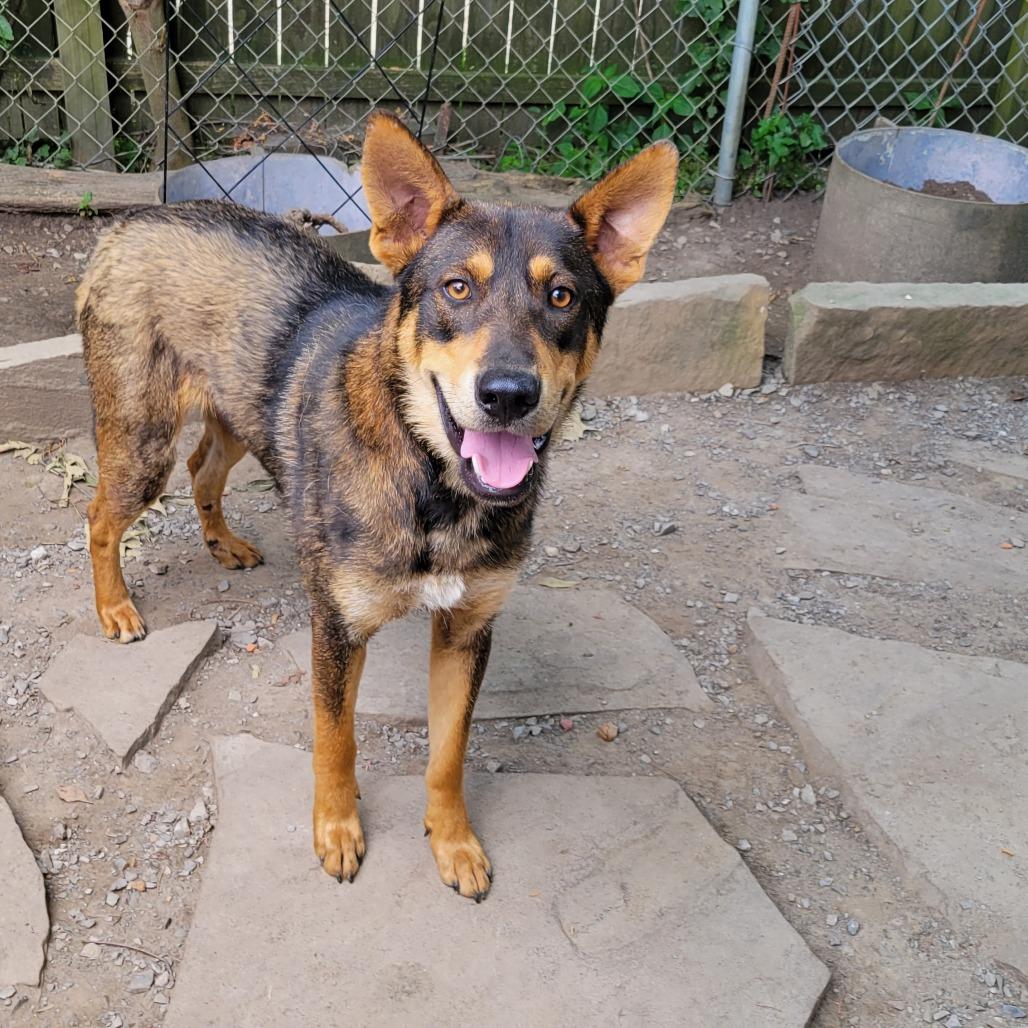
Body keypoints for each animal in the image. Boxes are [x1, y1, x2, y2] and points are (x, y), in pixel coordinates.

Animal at [76, 113, 678, 900]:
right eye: (457, 287)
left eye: (563, 297)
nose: (507, 394)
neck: (435, 487)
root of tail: (131, 221)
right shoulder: (337, 627)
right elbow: (336, 739)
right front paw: (336, 830)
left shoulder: (467, 631)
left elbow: (448, 753)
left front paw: (453, 842)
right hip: (142, 444)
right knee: (99, 517)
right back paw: (115, 608)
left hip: (241, 416)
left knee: (205, 469)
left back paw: (224, 543)